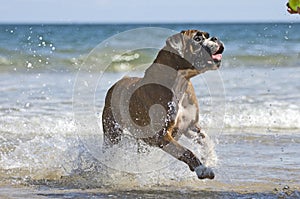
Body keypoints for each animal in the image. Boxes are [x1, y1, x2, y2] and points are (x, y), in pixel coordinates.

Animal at [102, 29, 224, 180]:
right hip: (112, 133)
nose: (215, 38)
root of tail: (116, 84)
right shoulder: (161, 136)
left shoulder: (190, 127)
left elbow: (206, 140)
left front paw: (210, 158)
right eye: (197, 39)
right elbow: (186, 151)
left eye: (207, 36)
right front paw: (202, 169)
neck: (181, 80)